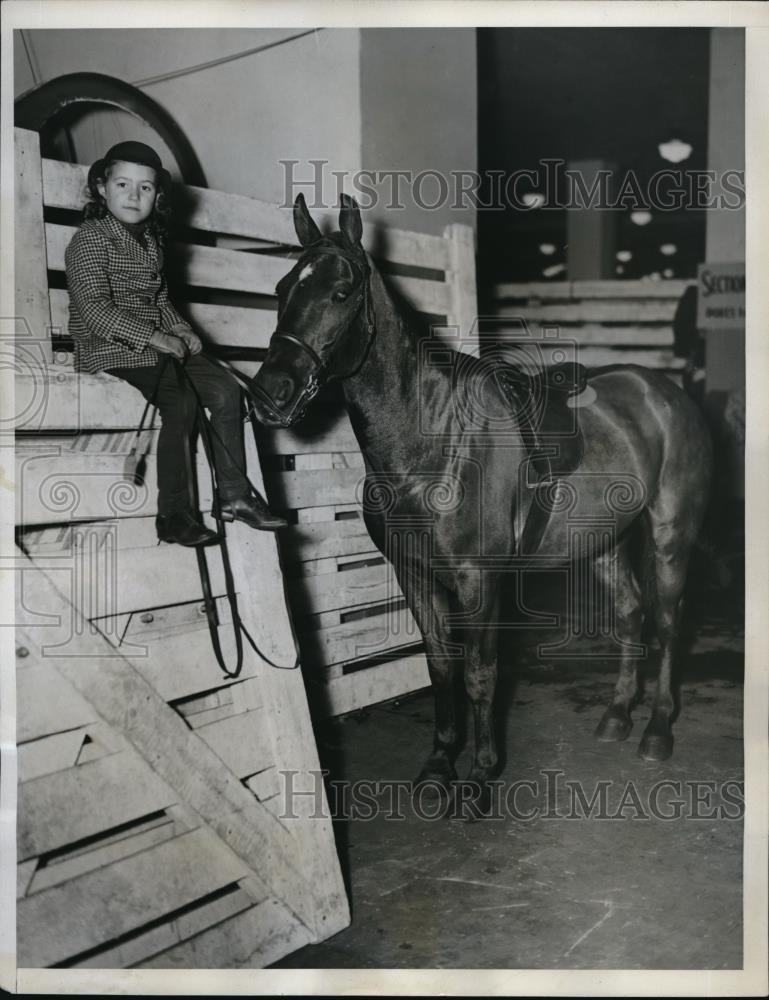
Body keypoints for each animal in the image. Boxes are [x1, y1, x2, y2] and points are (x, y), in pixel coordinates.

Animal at [254, 195, 712, 812]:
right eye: (282, 287)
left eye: (342, 291)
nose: (269, 392)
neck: (432, 446)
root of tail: (665, 393)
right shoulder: (416, 574)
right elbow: (440, 667)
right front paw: (439, 765)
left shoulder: (480, 579)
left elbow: (479, 673)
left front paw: (479, 776)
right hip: (603, 543)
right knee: (631, 613)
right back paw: (616, 716)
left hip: (669, 536)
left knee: (666, 623)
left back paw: (657, 730)